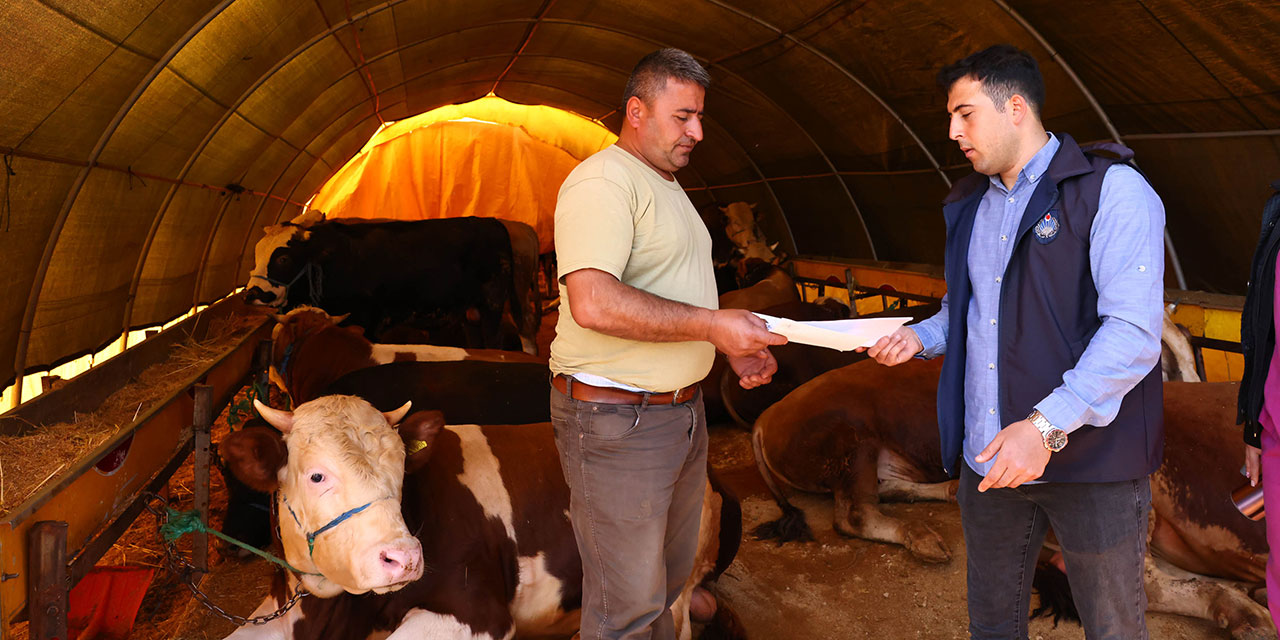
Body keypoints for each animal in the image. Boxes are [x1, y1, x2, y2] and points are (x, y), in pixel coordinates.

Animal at [220, 394, 742, 640]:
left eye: (402, 469)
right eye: (316, 475)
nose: (404, 558)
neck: (335, 612)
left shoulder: (476, 612)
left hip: (671, 586)